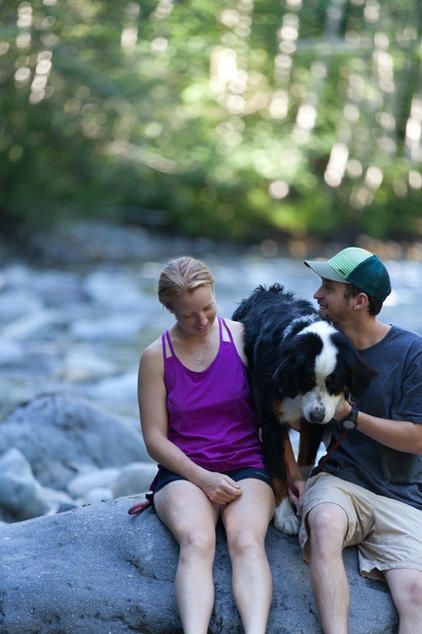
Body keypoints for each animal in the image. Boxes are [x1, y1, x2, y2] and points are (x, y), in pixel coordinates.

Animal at [232, 282, 374, 532]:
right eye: (307, 380)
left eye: (334, 383)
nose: (317, 415)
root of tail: (267, 290)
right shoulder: (271, 421)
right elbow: (278, 471)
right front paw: (284, 515)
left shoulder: (314, 425)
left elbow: (306, 464)